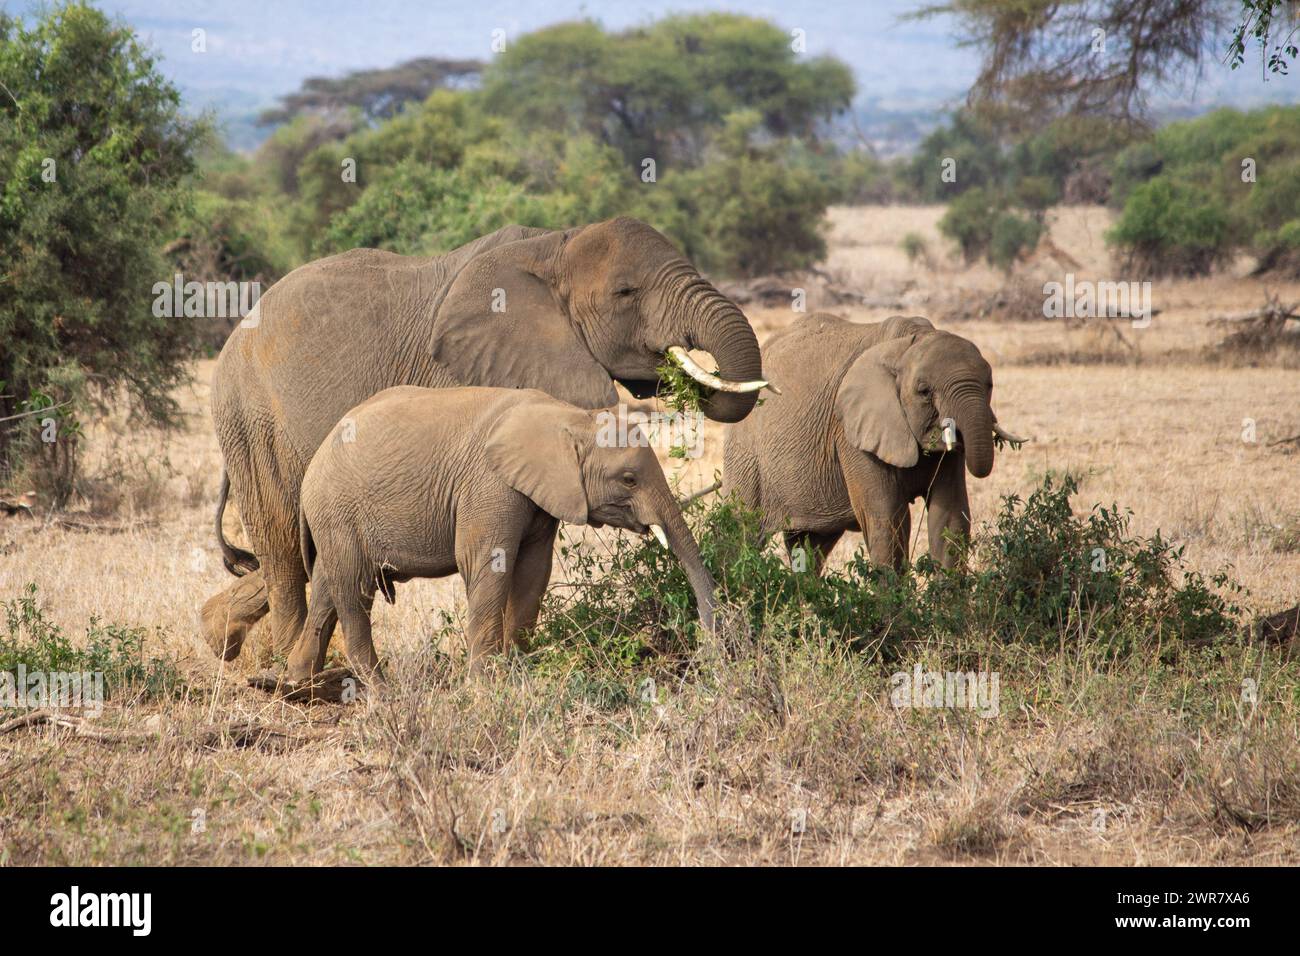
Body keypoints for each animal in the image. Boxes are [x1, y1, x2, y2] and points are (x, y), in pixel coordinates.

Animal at [282, 385, 722, 686]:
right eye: (629, 479)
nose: (707, 653)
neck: (571, 418)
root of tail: (314, 461)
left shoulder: (539, 495)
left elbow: (533, 572)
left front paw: (518, 672)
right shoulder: (490, 486)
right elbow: (486, 565)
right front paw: (483, 684)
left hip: (334, 515)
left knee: (328, 585)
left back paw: (297, 683)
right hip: (337, 509)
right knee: (353, 587)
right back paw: (379, 689)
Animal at [722, 314, 1024, 572]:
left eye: (989, 385)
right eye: (924, 392)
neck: (907, 344)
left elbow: (949, 516)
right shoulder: (850, 434)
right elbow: (886, 519)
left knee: (810, 546)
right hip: (746, 454)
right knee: (740, 530)